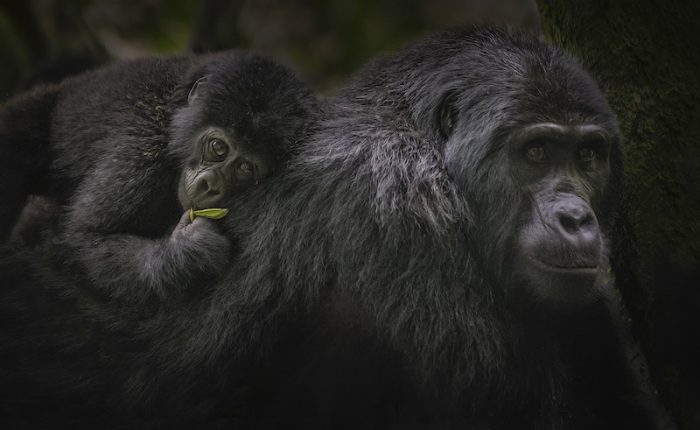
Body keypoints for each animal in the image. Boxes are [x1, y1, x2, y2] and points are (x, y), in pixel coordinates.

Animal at [0, 50, 314, 306]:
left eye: (246, 168)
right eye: (218, 147)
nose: (210, 185)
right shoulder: (142, 150)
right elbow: (85, 236)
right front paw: (184, 252)